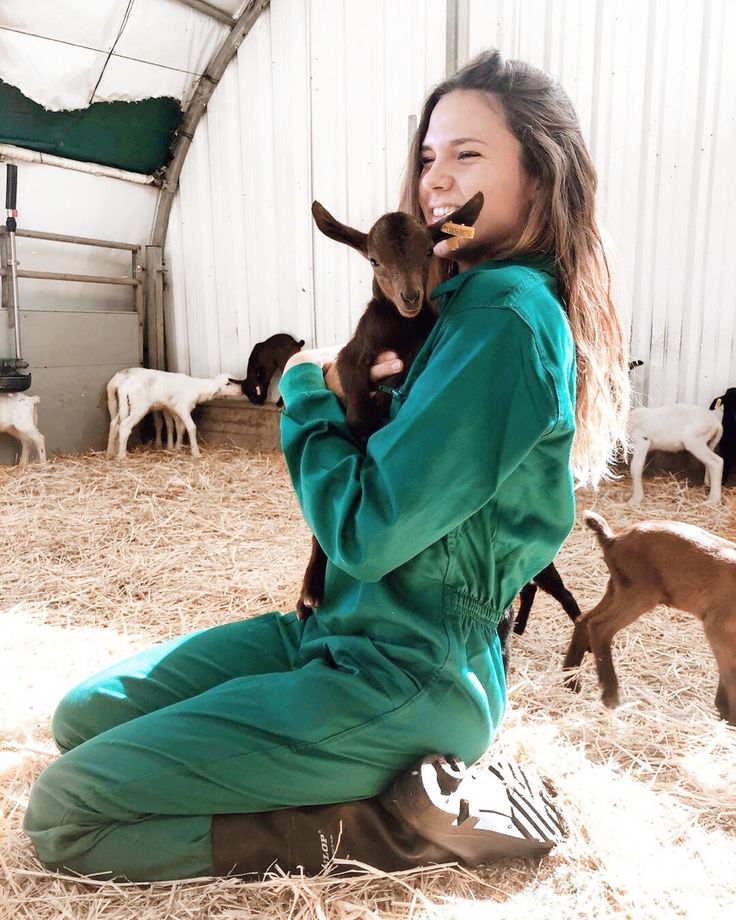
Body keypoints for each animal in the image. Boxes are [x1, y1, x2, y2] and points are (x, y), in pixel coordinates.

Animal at [107, 370, 242, 460]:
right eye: (228, 384)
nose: (241, 390)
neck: (197, 388)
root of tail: (124, 387)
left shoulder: (174, 410)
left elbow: (179, 428)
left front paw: (177, 448)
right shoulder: (183, 408)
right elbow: (191, 428)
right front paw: (196, 453)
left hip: (126, 405)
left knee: (114, 424)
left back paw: (110, 452)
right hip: (139, 407)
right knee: (124, 426)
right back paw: (122, 456)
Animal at [296, 194, 486, 624]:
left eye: (428, 251)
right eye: (374, 261)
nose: (410, 297)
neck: (399, 331)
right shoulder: (352, 359)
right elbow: (355, 406)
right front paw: (366, 427)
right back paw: (309, 594)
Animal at [564, 510, 736, 724]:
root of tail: (613, 540)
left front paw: (724, 714)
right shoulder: (717, 626)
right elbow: (731, 673)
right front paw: (729, 716)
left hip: (617, 589)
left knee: (584, 620)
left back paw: (570, 683)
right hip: (640, 593)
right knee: (599, 626)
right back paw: (609, 694)